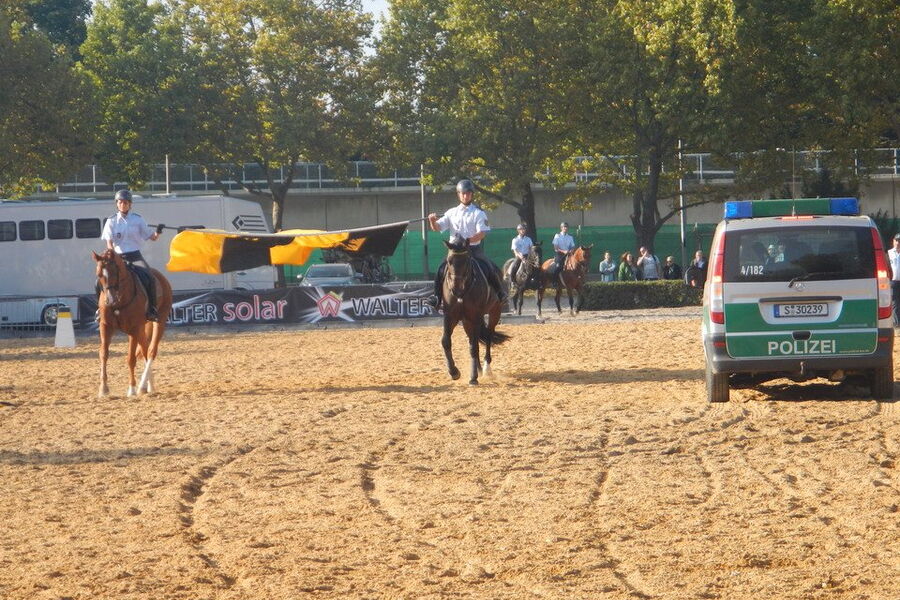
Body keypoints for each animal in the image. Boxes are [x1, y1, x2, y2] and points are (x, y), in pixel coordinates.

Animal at [92, 249, 173, 397]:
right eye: (99, 274)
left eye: (115, 272)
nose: (110, 300)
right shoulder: (105, 326)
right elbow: (104, 354)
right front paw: (103, 389)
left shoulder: (133, 329)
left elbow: (131, 359)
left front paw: (132, 389)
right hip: (143, 328)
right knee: (145, 349)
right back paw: (148, 385)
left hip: (160, 321)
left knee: (151, 352)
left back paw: (144, 386)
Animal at [440, 239, 510, 385]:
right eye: (449, 260)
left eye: (467, 260)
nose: (456, 287)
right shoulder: (450, 316)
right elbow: (446, 341)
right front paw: (454, 372)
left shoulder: (476, 317)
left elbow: (473, 346)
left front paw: (473, 378)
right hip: (467, 321)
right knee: (474, 340)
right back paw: (478, 369)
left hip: (495, 311)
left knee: (487, 336)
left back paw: (486, 369)